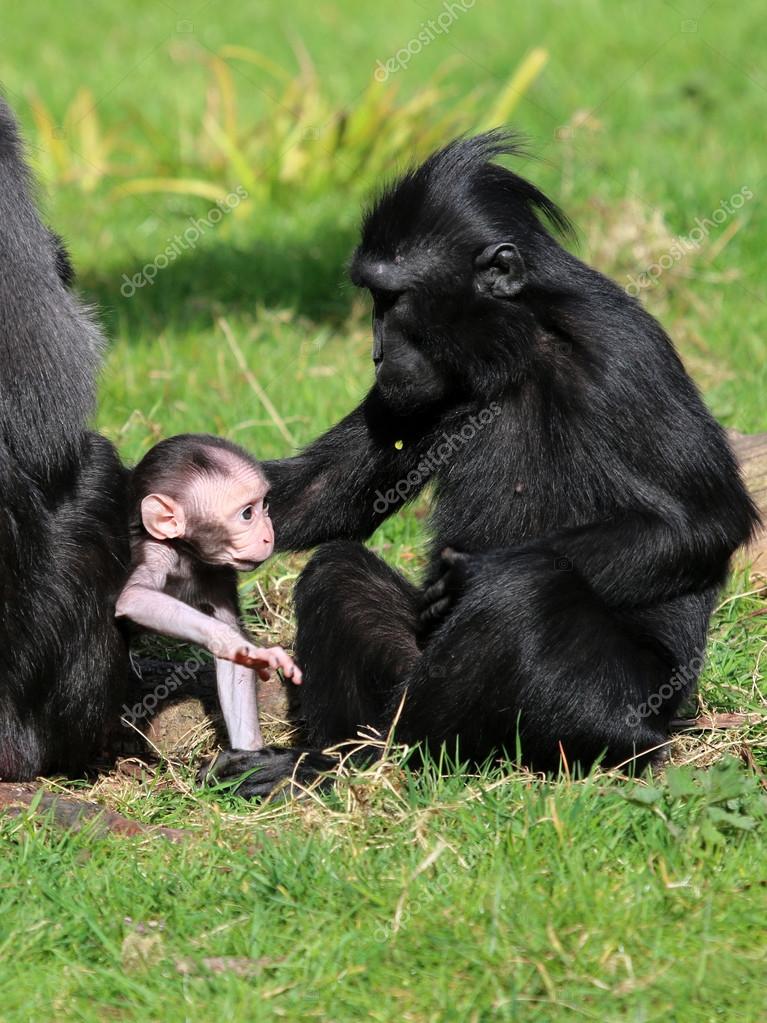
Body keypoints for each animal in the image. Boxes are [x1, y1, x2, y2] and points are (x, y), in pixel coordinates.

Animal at [114, 431, 300, 752]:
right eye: (247, 514)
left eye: (264, 505)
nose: (268, 535)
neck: (187, 555)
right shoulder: (157, 554)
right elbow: (134, 597)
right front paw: (228, 641)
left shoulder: (220, 573)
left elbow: (236, 669)